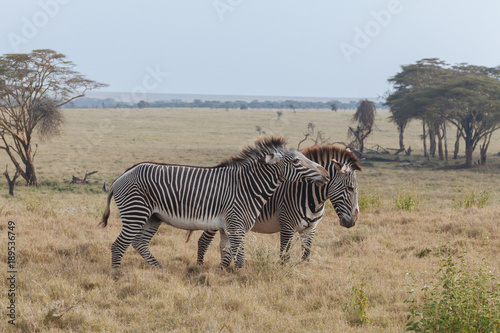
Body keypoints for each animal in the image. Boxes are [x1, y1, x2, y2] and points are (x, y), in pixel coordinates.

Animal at [99, 136, 330, 268]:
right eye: (296, 161)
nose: (327, 174)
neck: (247, 186)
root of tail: (121, 176)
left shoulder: (228, 228)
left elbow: (227, 255)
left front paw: (219, 274)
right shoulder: (237, 226)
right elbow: (239, 258)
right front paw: (240, 279)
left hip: (152, 217)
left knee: (139, 243)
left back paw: (158, 268)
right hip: (135, 214)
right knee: (118, 245)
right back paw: (117, 276)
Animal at [192, 144, 364, 264]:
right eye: (350, 188)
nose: (354, 221)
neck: (311, 198)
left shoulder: (310, 229)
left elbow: (306, 257)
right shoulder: (287, 226)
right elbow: (284, 256)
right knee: (203, 241)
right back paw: (199, 267)